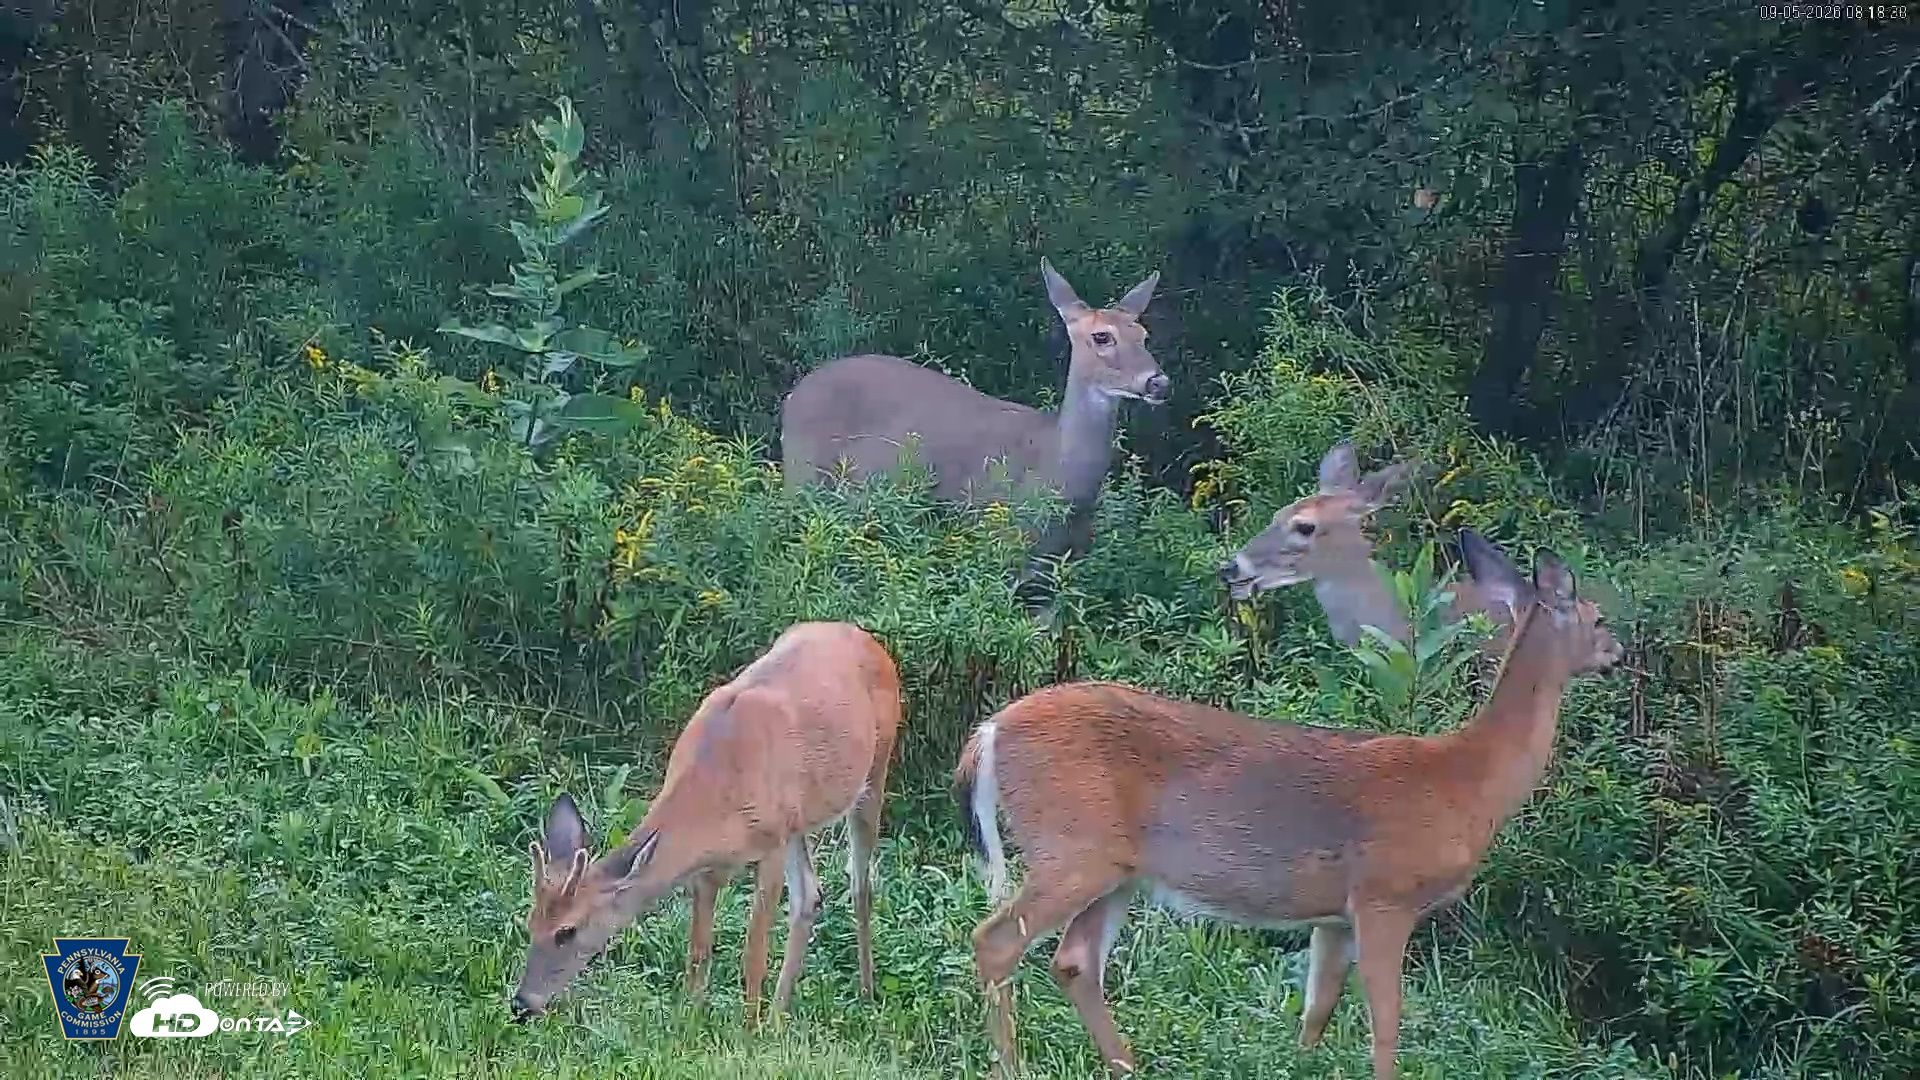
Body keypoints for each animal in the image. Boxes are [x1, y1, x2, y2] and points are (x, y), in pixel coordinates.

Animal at [510, 621, 902, 1024]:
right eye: (529, 923)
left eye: (567, 931)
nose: (521, 1004)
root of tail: (869, 641)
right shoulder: (709, 866)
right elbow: (698, 951)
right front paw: (693, 1016)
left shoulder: (771, 844)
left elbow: (753, 954)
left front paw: (747, 1028)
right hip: (799, 818)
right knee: (810, 894)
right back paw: (778, 1017)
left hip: (875, 770)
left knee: (861, 885)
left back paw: (865, 995)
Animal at [780, 258, 1168, 581]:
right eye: (1102, 336)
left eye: (1143, 335)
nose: (1158, 382)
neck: (1056, 475)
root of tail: (792, 396)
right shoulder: (998, 541)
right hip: (802, 477)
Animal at [952, 528, 1623, 1079]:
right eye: (1595, 617)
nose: (1619, 651)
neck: (1470, 777)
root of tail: (989, 732)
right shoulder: (1384, 895)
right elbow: (1386, 1025)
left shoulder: (1333, 917)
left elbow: (1316, 1013)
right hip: (1071, 846)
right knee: (997, 941)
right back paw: (1010, 1067)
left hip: (1117, 870)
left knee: (1075, 960)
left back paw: (1127, 1067)